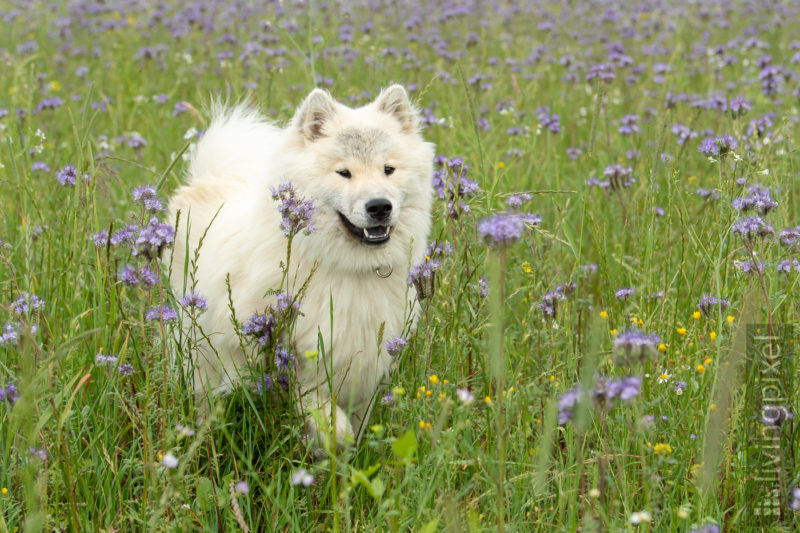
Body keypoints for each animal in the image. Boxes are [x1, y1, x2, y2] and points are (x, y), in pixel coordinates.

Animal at [166, 86, 434, 444]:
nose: (379, 206)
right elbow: (333, 426)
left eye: (388, 169)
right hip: (201, 354)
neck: (341, 266)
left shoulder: (364, 367)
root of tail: (211, 179)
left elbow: (357, 426)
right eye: (344, 173)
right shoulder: (301, 365)